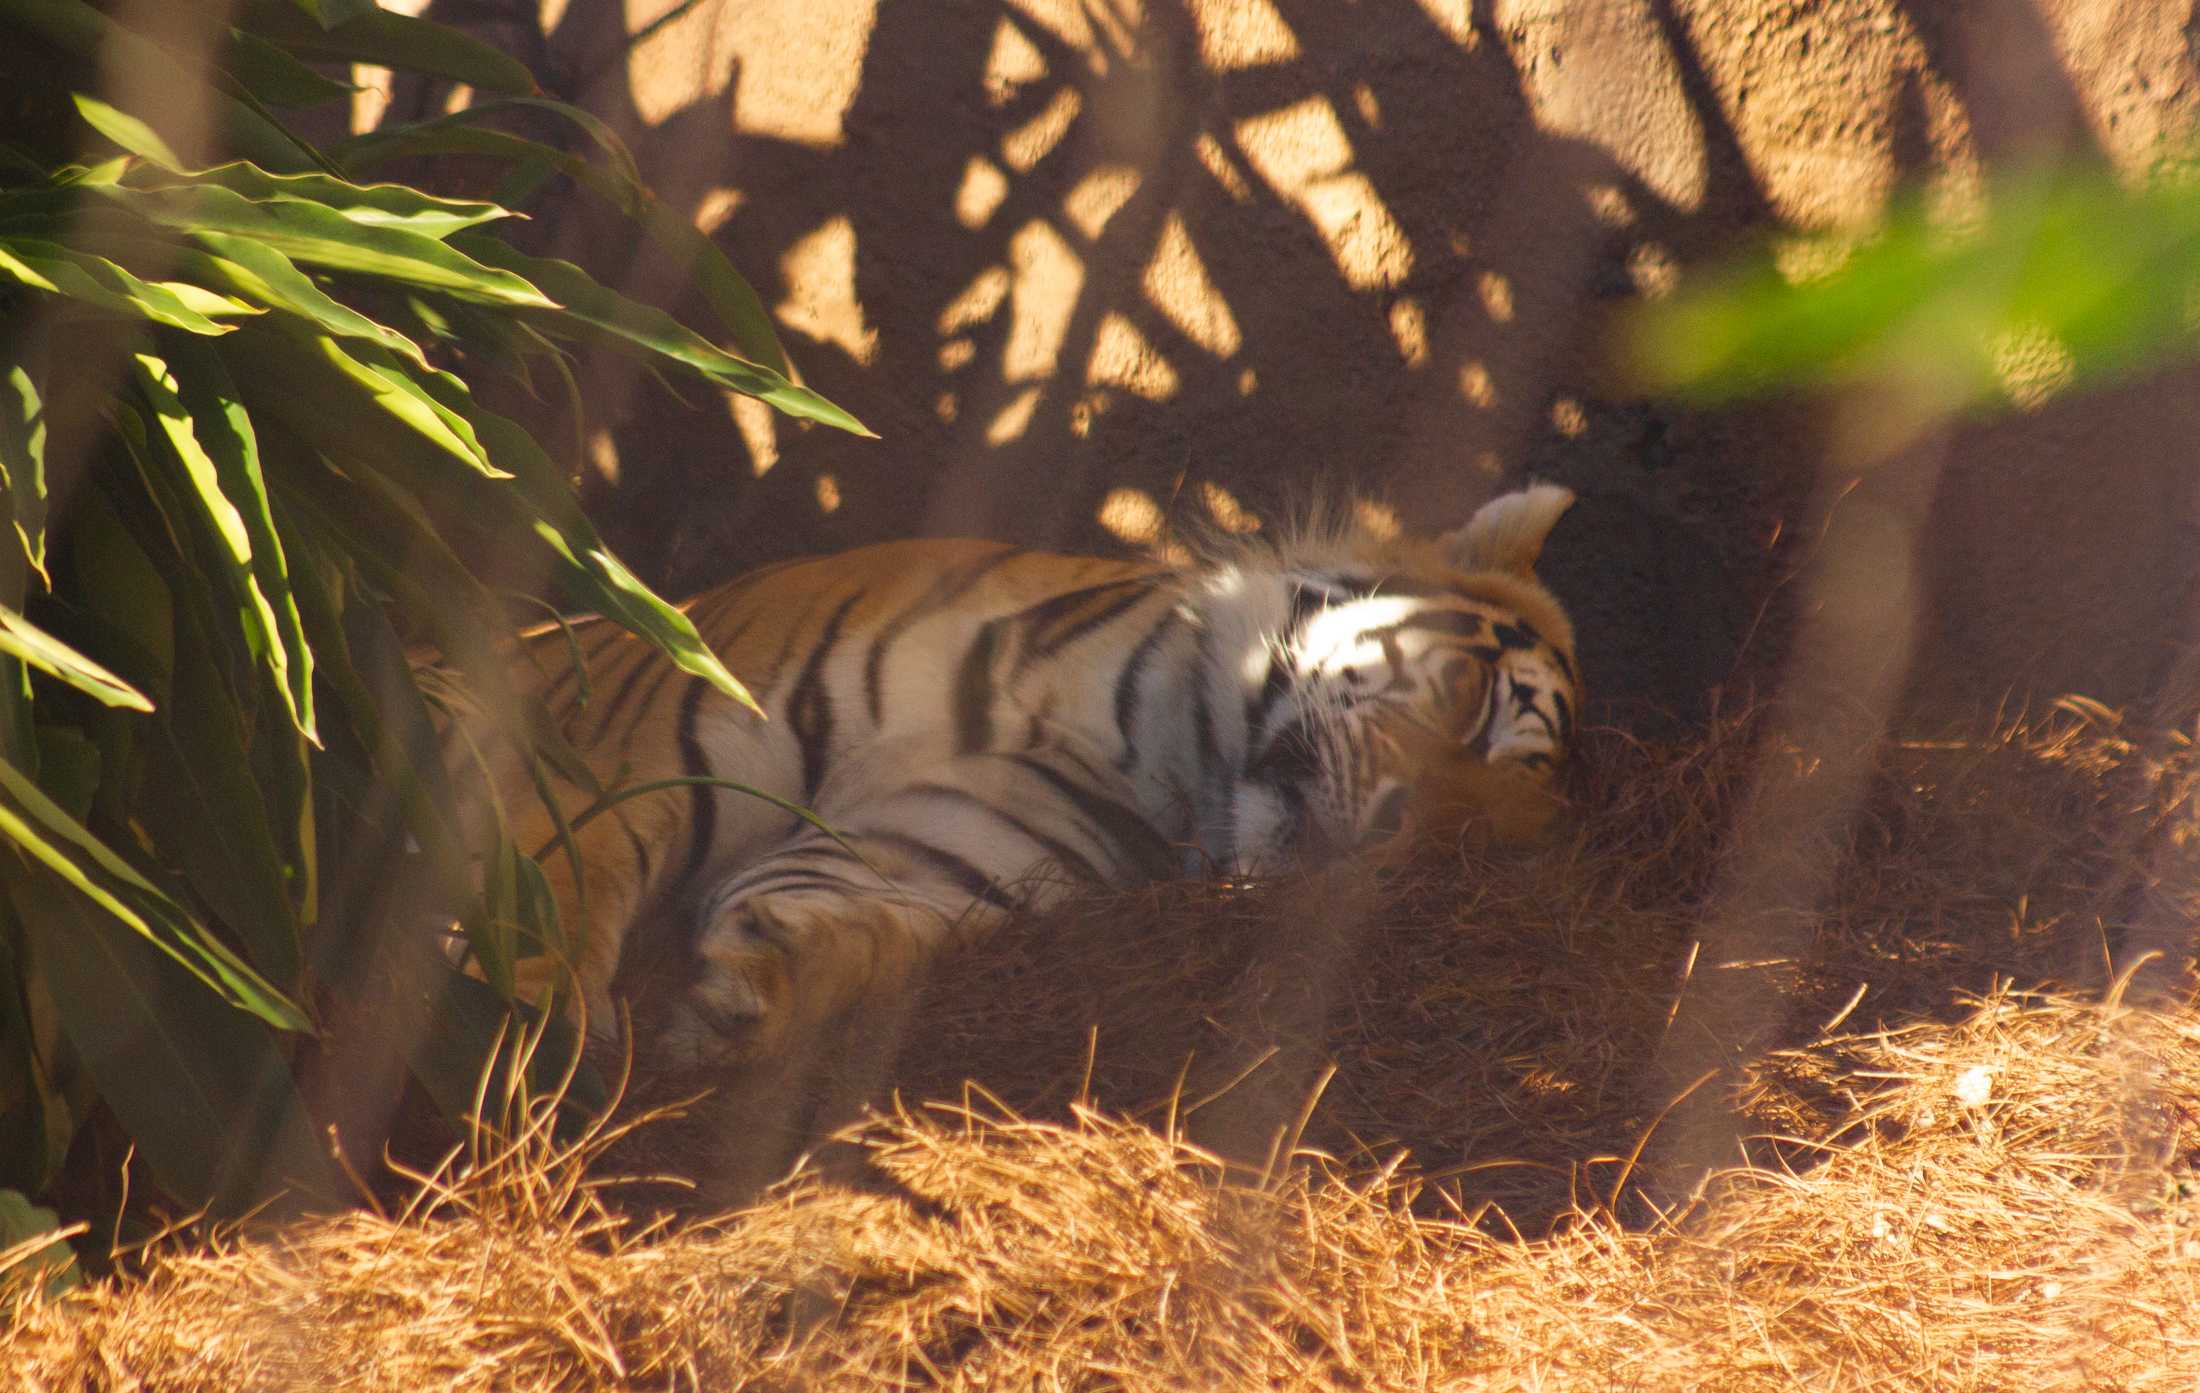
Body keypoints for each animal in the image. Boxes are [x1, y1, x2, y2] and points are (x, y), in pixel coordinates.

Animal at [455, 484, 1584, 1188]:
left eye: (1457, 854)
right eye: (1479, 703)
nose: (1391, 842)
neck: (1152, 744)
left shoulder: (929, 846)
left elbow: (830, 906)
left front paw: (768, 990)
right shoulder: (637, 738)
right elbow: (556, 875)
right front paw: (527, 1038)